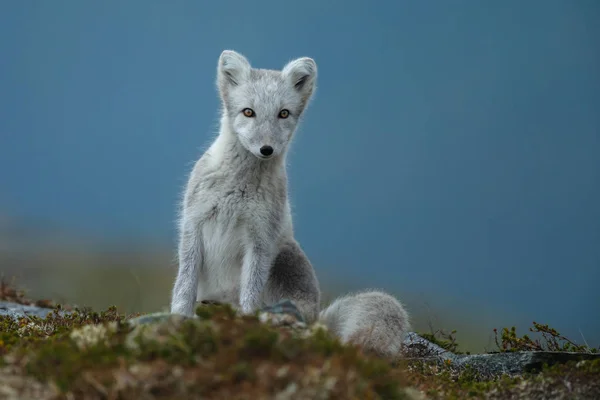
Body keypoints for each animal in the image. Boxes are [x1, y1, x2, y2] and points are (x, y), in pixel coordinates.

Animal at [169, 50, 322, 322]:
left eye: (283, 113)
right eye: (248, 112)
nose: (266, 149)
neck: (237, 190)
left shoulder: (260, 240)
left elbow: (251, 291)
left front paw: (248, 319)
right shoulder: (193, 224)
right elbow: (185, 282)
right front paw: (180, 316)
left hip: (285, 254)